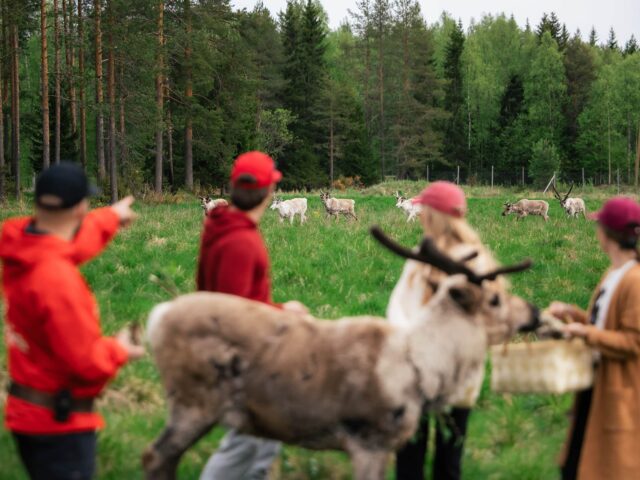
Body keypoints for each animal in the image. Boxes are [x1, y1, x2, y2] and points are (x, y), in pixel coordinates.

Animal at [141, 227, 540, 480]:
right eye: (495, 299)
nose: (535, 311)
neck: (424, 367)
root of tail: (155, 317)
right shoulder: (369, 438)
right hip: (193, 401)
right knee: (155, 456)